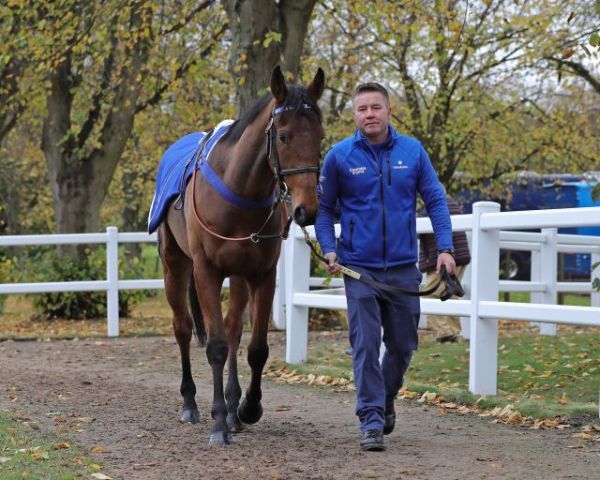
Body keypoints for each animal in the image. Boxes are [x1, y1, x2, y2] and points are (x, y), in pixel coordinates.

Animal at [155, 65, 324, 444]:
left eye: (320, 136)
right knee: (182, 328)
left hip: (239, 275)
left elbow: (256, 348)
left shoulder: (262, 274)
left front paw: (247, 407)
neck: (239, 193)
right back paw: (192, 404)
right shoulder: (206, 271)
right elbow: (215, 346)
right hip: (175, 265)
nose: (306, 210)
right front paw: (218, 421)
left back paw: (234, 408)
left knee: (233, 329)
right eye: (284, 136)